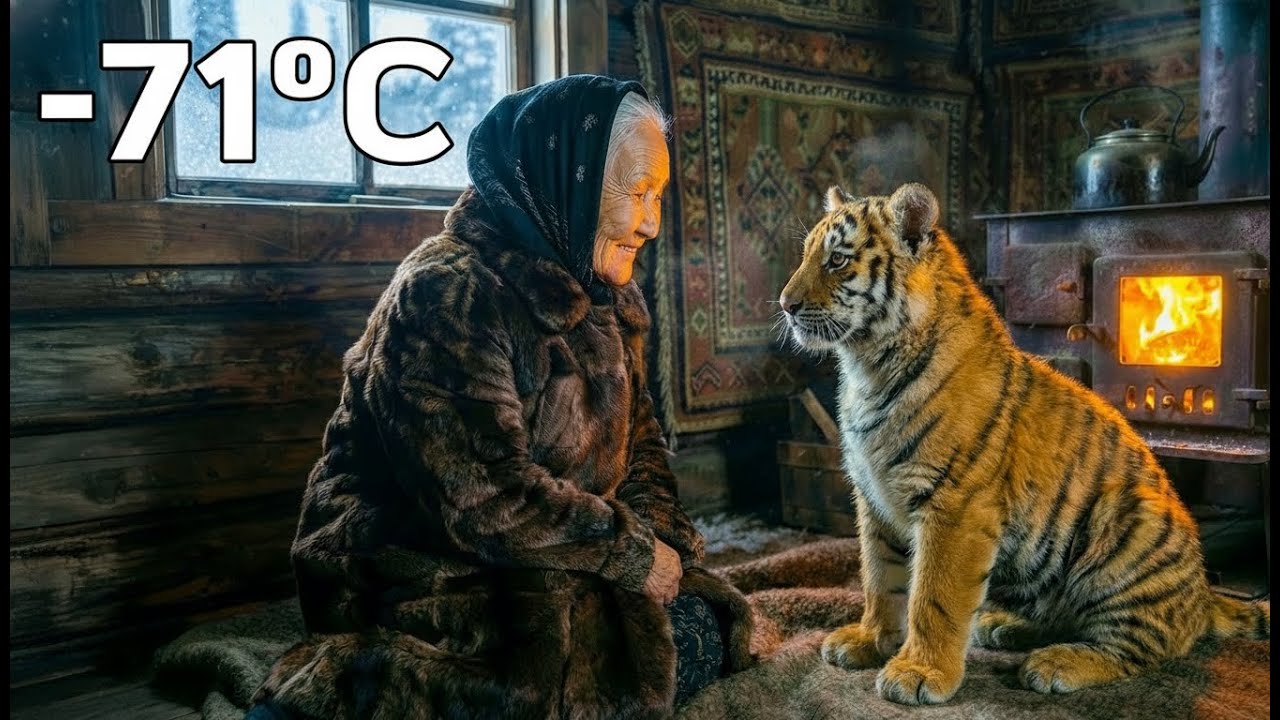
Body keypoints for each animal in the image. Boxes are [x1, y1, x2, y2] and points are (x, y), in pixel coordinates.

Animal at [776, 181, 1270, 705]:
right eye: (807, 255)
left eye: (837, 261)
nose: (785, 304)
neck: (866, 366)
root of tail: (1203, 596)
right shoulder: (874, 501)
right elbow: (878, 579)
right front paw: (869, 640)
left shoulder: (954, 506)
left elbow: (932, 596)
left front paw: (919, 672)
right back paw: (1002, 625)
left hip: (1127, 524)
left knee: (1143, 645)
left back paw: (1056, 664)